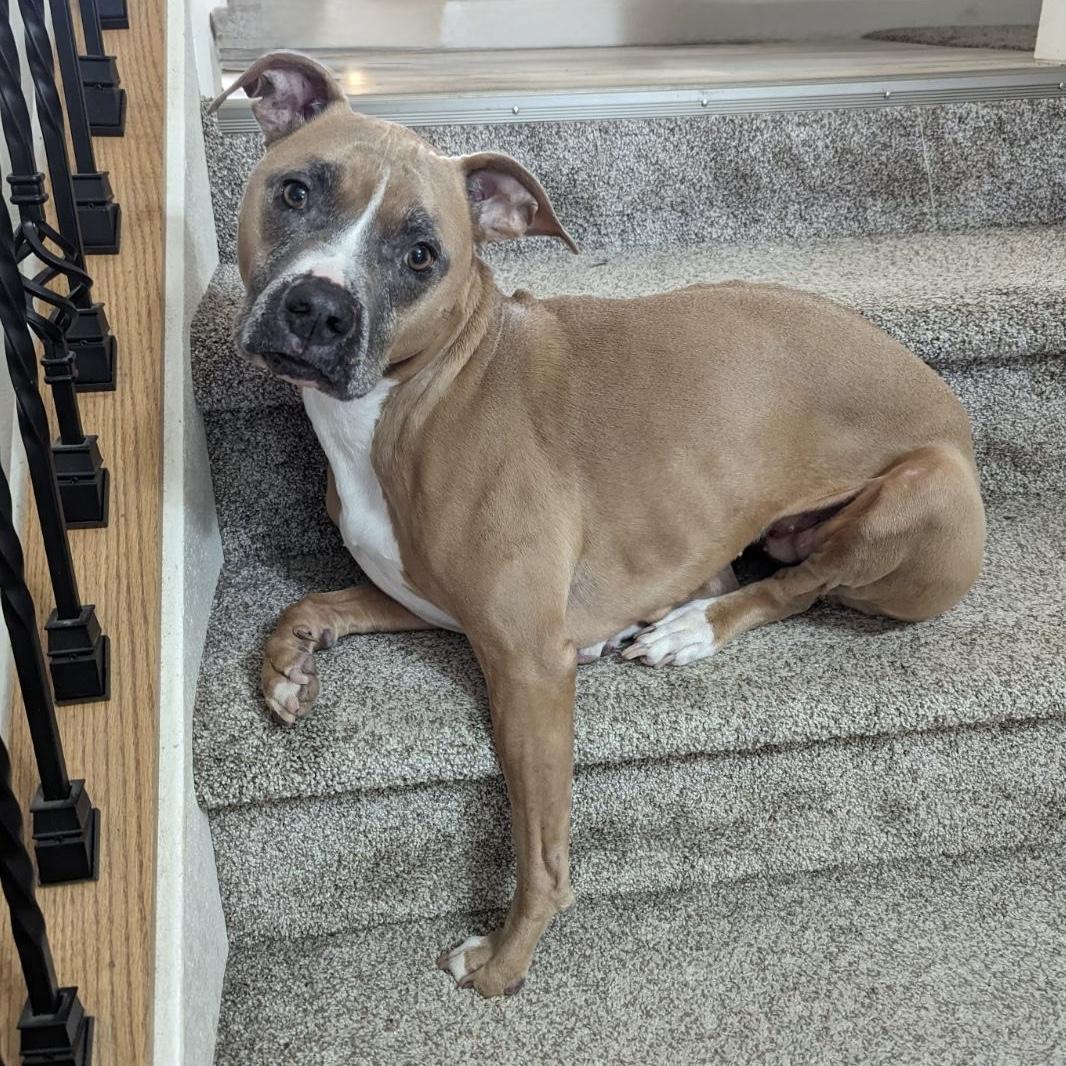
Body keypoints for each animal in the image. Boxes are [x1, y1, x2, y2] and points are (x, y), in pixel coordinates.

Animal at [210, 52, 985, 999]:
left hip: (923, 492)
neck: (421, 393)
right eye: (296, 191)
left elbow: (542, 852)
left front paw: (505, 962)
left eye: (422, 254)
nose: (320, 309)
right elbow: (314, 599)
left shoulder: (529, 664)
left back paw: (689, 629)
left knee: (796, 588)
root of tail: (956, 417)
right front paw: (291, 664)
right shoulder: (440, 603)